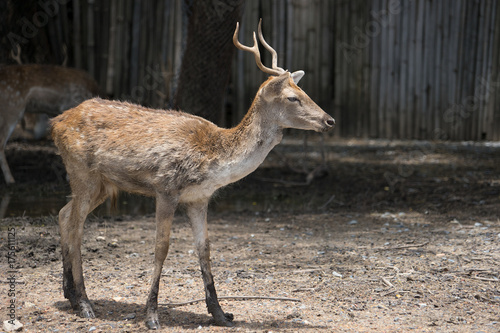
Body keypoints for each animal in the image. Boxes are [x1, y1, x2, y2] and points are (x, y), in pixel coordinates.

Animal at [50, 20, 336, 330]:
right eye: (293, 97)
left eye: (305, 92)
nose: (330, 120)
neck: (212, 162)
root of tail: (55, 122)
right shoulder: (165, 187)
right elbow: (161, 247)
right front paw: (152, 316)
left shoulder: (199, 198)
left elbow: (204, 248)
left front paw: (220, 313)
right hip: (81, 171)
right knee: (76, 225)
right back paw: (85, 303)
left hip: (102, 184)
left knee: (64, 214)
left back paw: (70, 295)